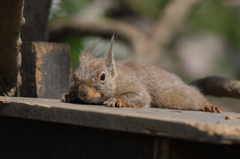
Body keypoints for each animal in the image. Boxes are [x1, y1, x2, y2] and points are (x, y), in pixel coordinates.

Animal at [61, 36, 222, 113]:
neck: (117, 79)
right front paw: (69, 95)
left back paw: (209, 105)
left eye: (102, 77)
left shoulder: (135, 86)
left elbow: (142, 97)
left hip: (173, 96)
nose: (83, 92)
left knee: (194, 97)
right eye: (75, 77)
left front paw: (117, 100)